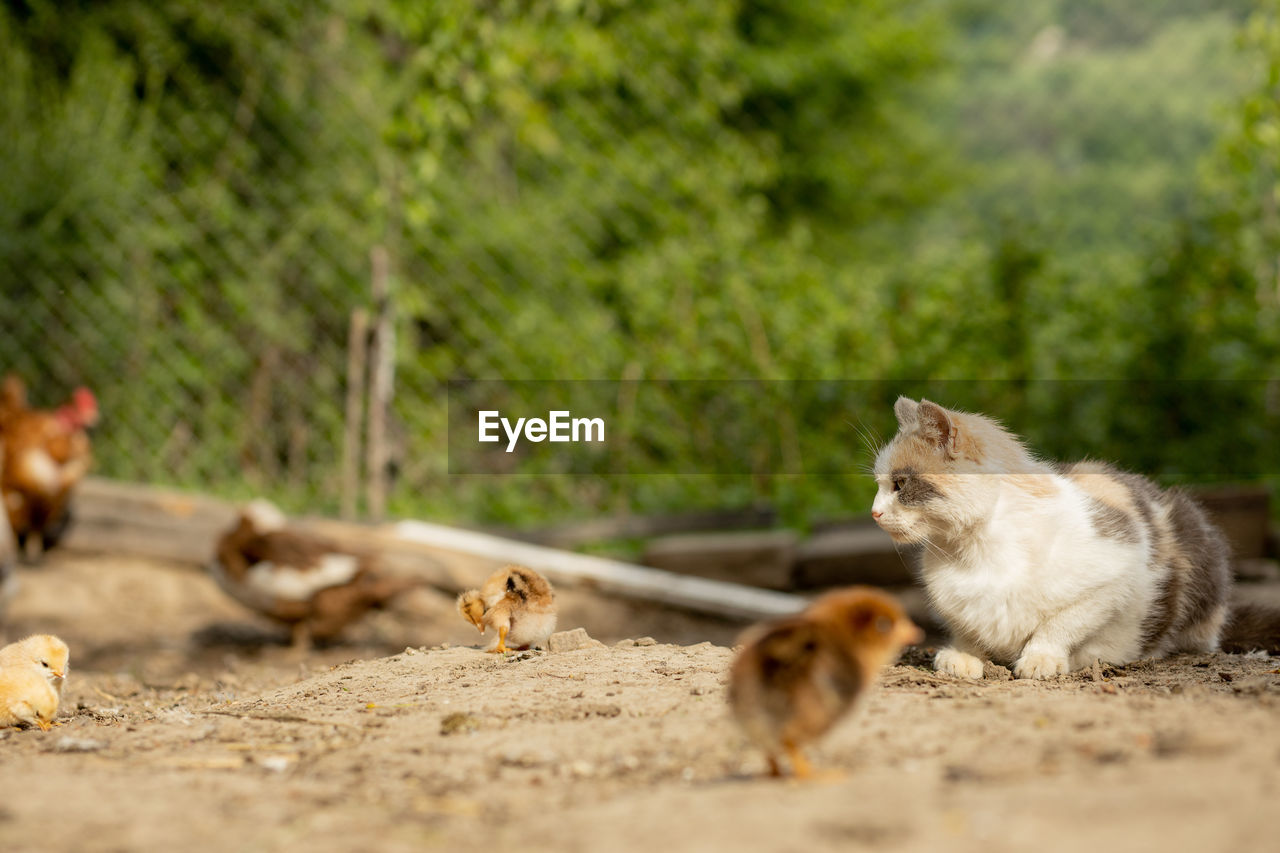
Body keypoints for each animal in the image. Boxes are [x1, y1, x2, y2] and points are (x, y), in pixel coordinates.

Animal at [865, 394, 1274, 681]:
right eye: (881, 485)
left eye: (900, 484)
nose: (874, 512)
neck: (976, 550)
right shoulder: (958, 604)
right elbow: (969, 628)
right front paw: (962, 656)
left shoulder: (1116, 573)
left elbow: (1063, 623)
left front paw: (1042, 658)